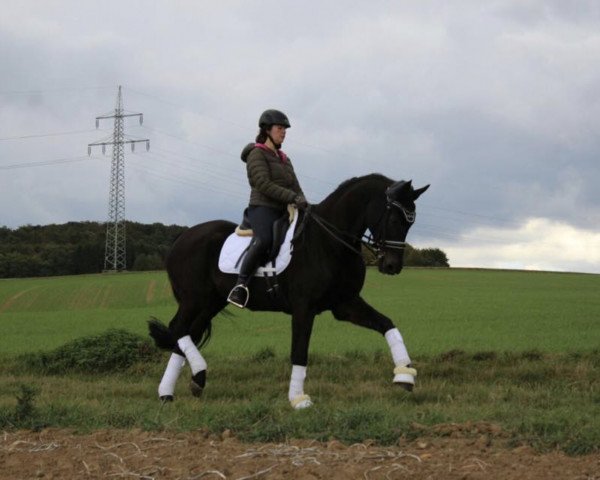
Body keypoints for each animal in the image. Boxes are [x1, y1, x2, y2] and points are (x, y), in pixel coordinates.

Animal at [150, 173, 432, 408]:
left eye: (411, 222)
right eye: (394, 218)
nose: (392, 266)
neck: (330, 242)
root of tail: (182, 238)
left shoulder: (345, 304)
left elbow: (387, 324)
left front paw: (405, 376)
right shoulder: (304, 308)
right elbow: (299, 352)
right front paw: (298, 399)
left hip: (211, 303)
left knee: (187, 334)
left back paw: (176, 390)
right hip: (193, 300)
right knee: (177, 328)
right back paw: (192, 376)